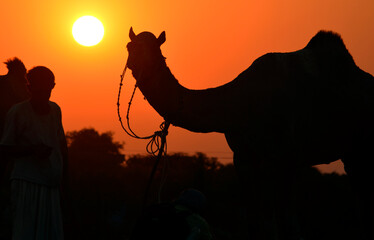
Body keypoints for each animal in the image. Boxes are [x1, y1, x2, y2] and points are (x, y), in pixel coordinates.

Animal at [126, 28, 374, 240]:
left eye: (152, 48)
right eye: (130, 46)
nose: (133, 63)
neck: (240, 100)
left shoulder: (286, 157)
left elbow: (286, 224)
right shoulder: (243, 157)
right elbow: (254, 223)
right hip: (352, 152)